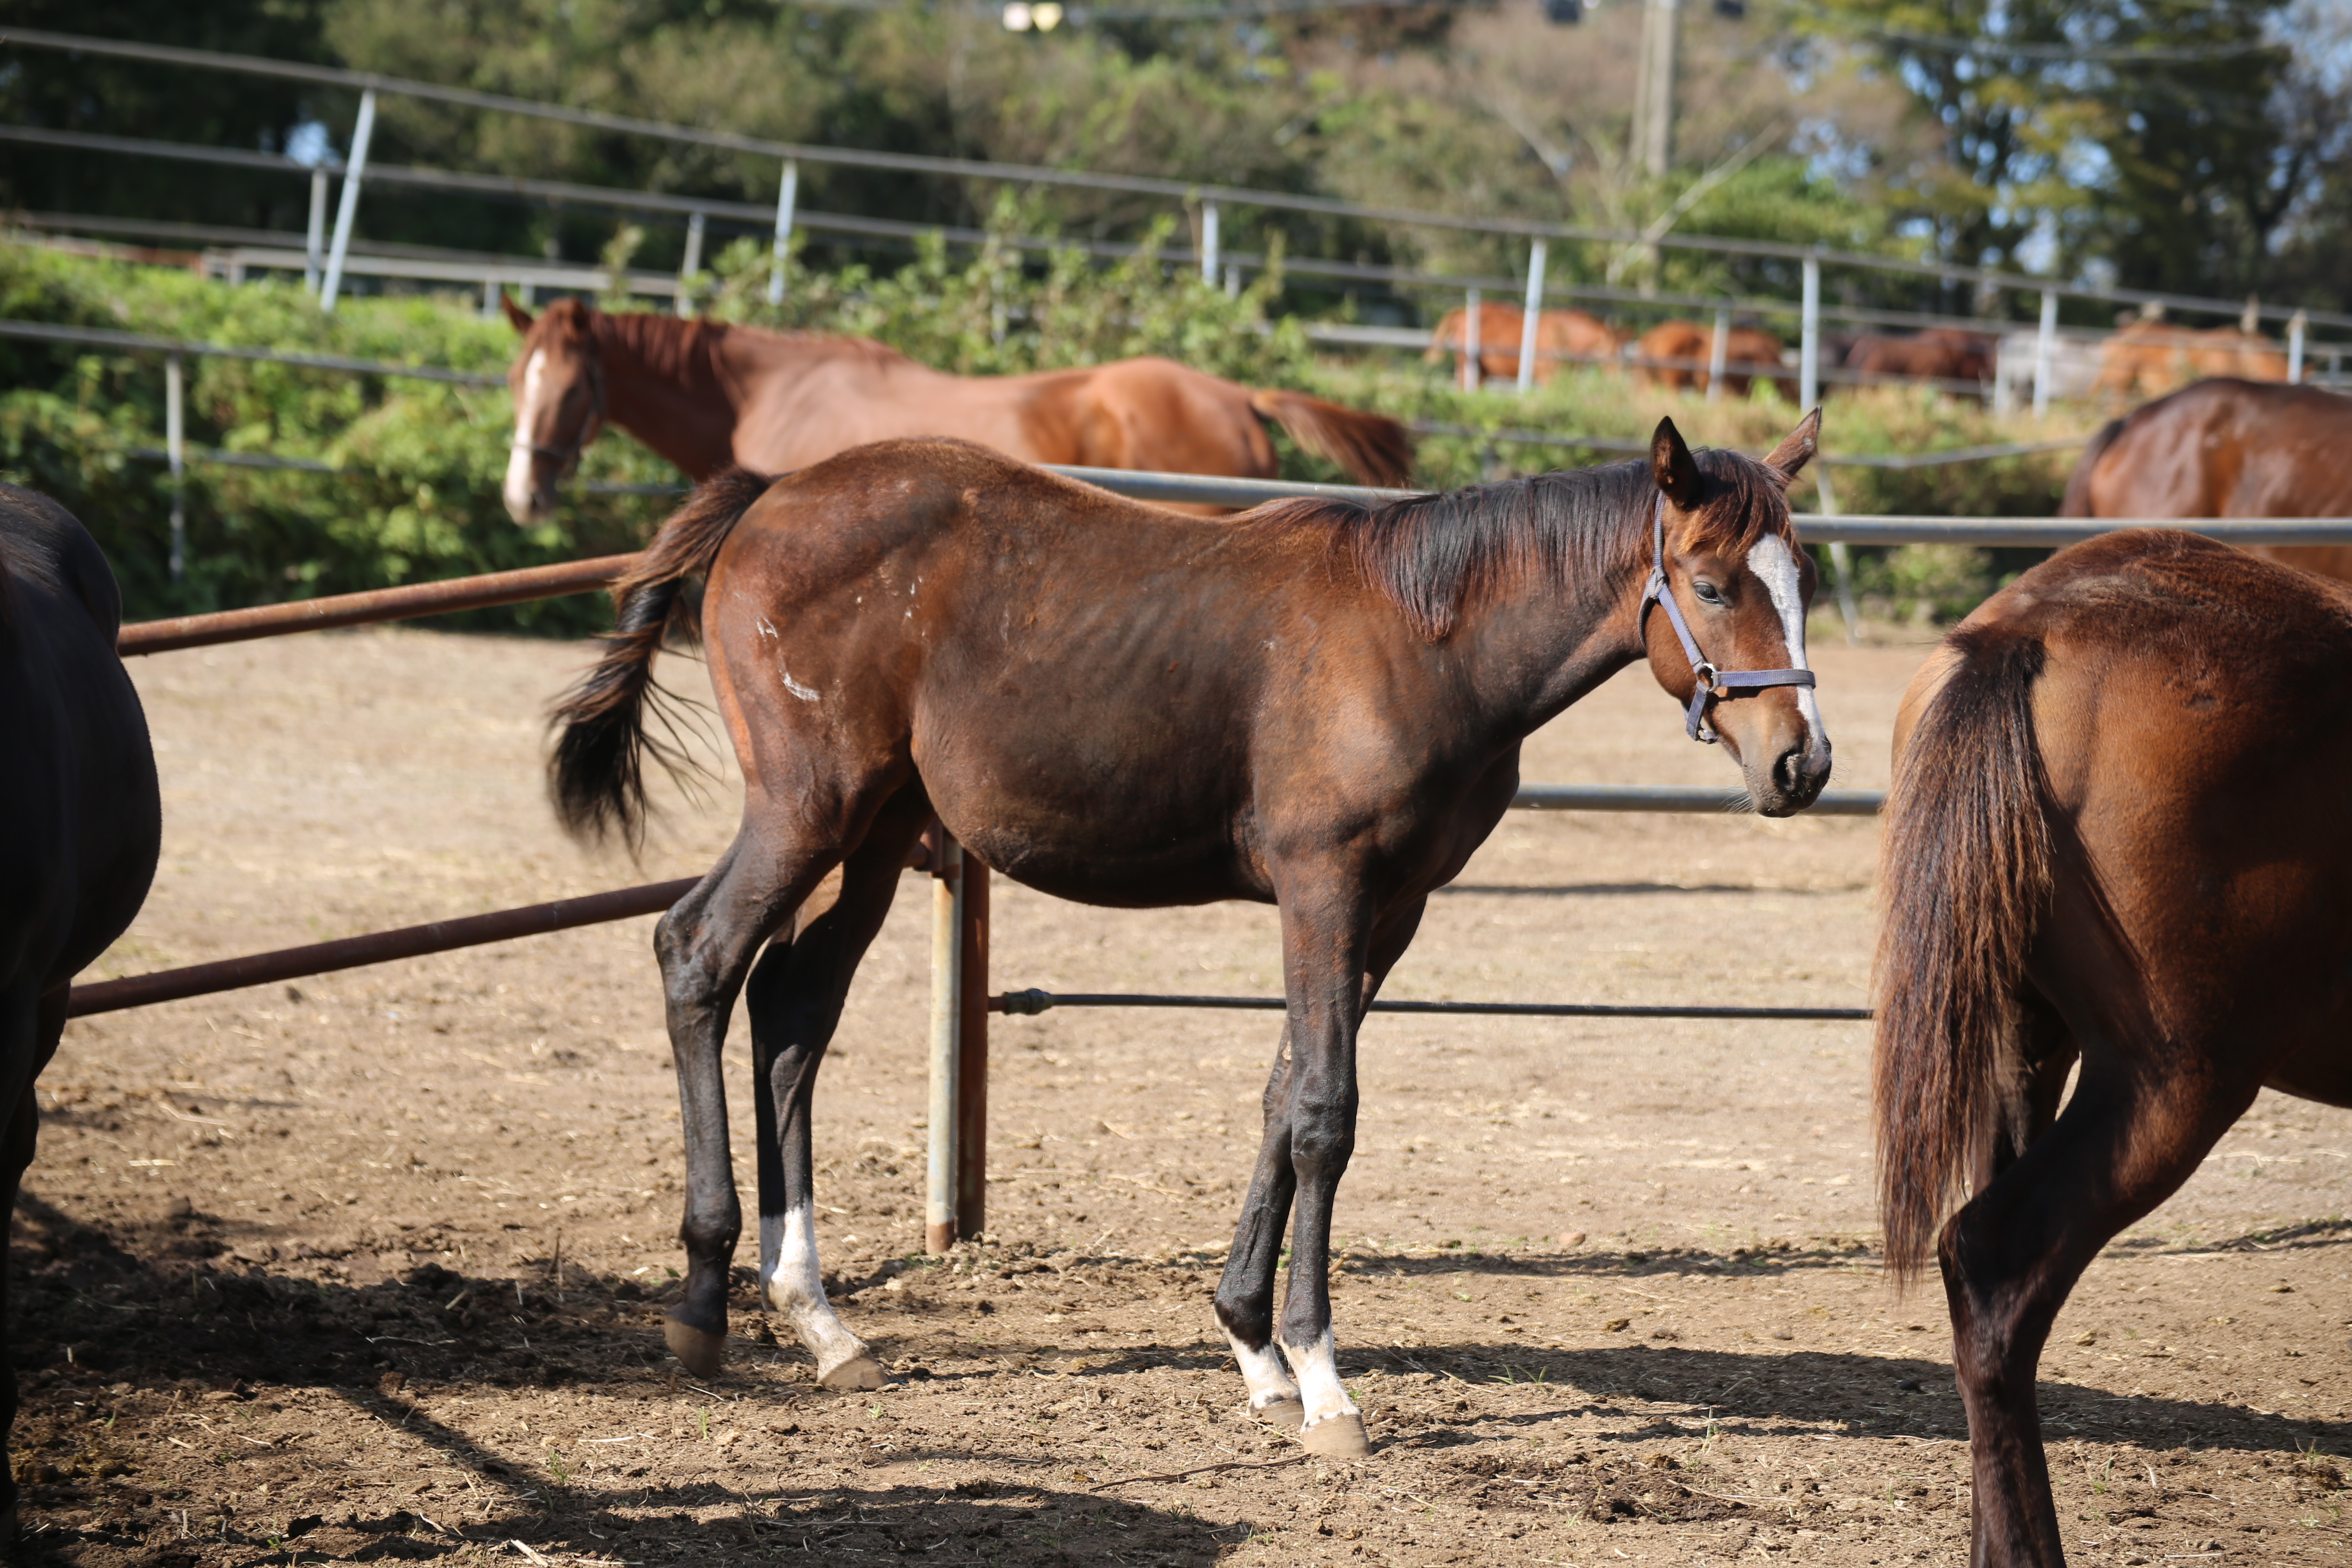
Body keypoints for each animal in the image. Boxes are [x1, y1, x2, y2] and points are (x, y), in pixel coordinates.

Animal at [550, 416, 1834, 1457]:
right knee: (699, 957)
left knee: (792, 1012)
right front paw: (1323, 1382)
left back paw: (819, 1320)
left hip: (877, 830)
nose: (1802, 765)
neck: (1425, 637)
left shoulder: (1389, 911)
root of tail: (772, 494)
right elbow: (1322, 1114)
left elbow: (1280, 1097)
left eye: (1804, 580)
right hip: (806, 806)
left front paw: (1254, 1347)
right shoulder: (1326, 887)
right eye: (1711, 584)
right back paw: (702, 1302)